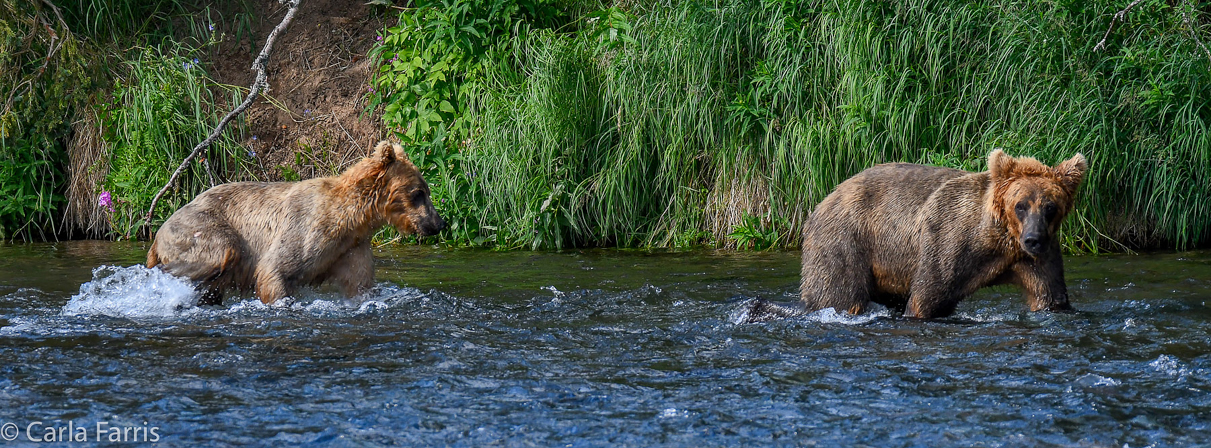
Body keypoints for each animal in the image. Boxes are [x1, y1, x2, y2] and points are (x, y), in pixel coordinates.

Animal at [144, 141, 443, 306]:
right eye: (419, 193)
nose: (438, 223)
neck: (351, 219)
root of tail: (156, 234)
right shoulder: (306, 229)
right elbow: (274, 269)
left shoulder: (350, 249)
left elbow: (360, 286)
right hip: (200, 227)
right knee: (221, 251)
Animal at [765, 149, 1089, 319]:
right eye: (1020, 205)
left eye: (1050, 207)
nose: (1034, 239)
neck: (995, 241)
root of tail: (821, 203)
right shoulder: (946, 239)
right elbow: (928, 296)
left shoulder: (1032, 259)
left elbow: (1050, 295)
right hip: (846, 241)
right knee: (838, 295)